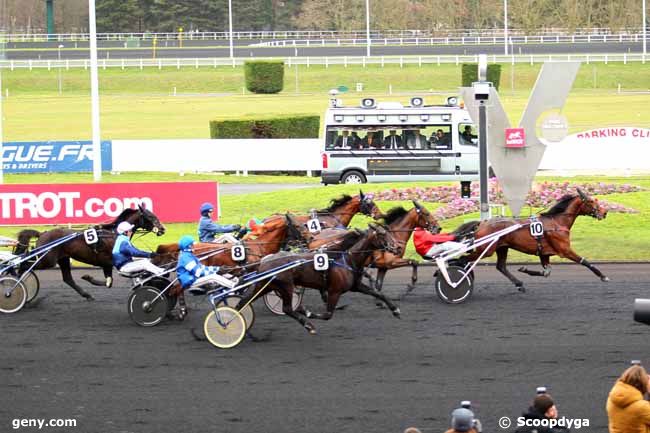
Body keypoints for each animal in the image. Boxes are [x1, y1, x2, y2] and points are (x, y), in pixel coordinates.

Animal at [15, 204, 166, 298]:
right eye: (151, 216)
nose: (163, 229)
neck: (113, 234)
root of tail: (43, 233)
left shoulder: (107, 264)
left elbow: (109, 282)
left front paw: (88, 278)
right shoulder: (108, 262)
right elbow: (109, 281)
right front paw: (88, 277)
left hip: (63, 259)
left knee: (67, 278)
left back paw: (86, 295)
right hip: (47, 260)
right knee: (25, 264)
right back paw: (16, 282)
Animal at [238, 223, 400, 334]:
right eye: (382, 234)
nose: (398, 247)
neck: (347, 259)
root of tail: (264, 260)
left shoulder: (356, 286)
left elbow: (379, 293)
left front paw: (395, 310)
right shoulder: (335, 291)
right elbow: (327, 314)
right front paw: (308, 313)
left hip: (267, 286)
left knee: (244, 301)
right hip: (286, 286)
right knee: (287, 308)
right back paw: (307, 324)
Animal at [460, 188, 608, 292]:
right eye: (591, 201)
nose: (604, 212)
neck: (557, 222)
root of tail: (482, 223)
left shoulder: (544, 253)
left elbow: (546, 272)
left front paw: (524, 269)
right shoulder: (565, 250)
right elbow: (585, 261)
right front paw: (603, 276)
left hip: (501, 247)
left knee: (501, 266)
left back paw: (519, 284)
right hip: (486, 250)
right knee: (463, 260)